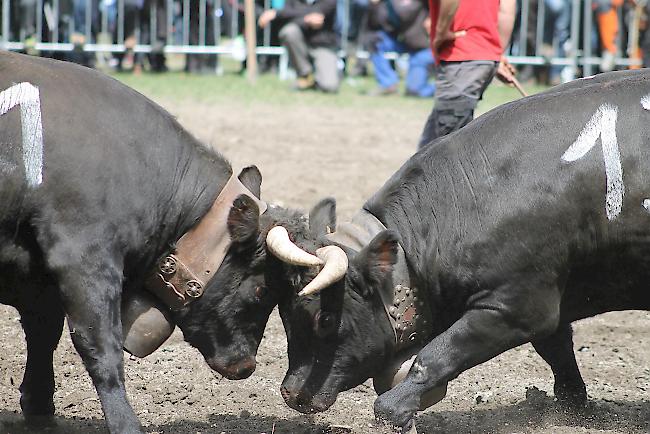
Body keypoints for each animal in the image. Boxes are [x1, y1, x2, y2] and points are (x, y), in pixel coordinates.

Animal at [0, 49, 312, 432]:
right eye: (261, 289)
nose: (246, 365)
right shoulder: (84, 259)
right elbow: (100, 344)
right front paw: (125, 423)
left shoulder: (39, 278)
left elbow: (42, 335)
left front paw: (39, 409)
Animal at [237, 70, 648, 430]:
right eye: (284, 314)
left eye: (324, 319)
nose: (292, 394)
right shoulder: (550, 301)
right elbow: (558, 351)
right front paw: (572, 407)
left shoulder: (516, 306)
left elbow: (437, 355)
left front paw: (394, 409)